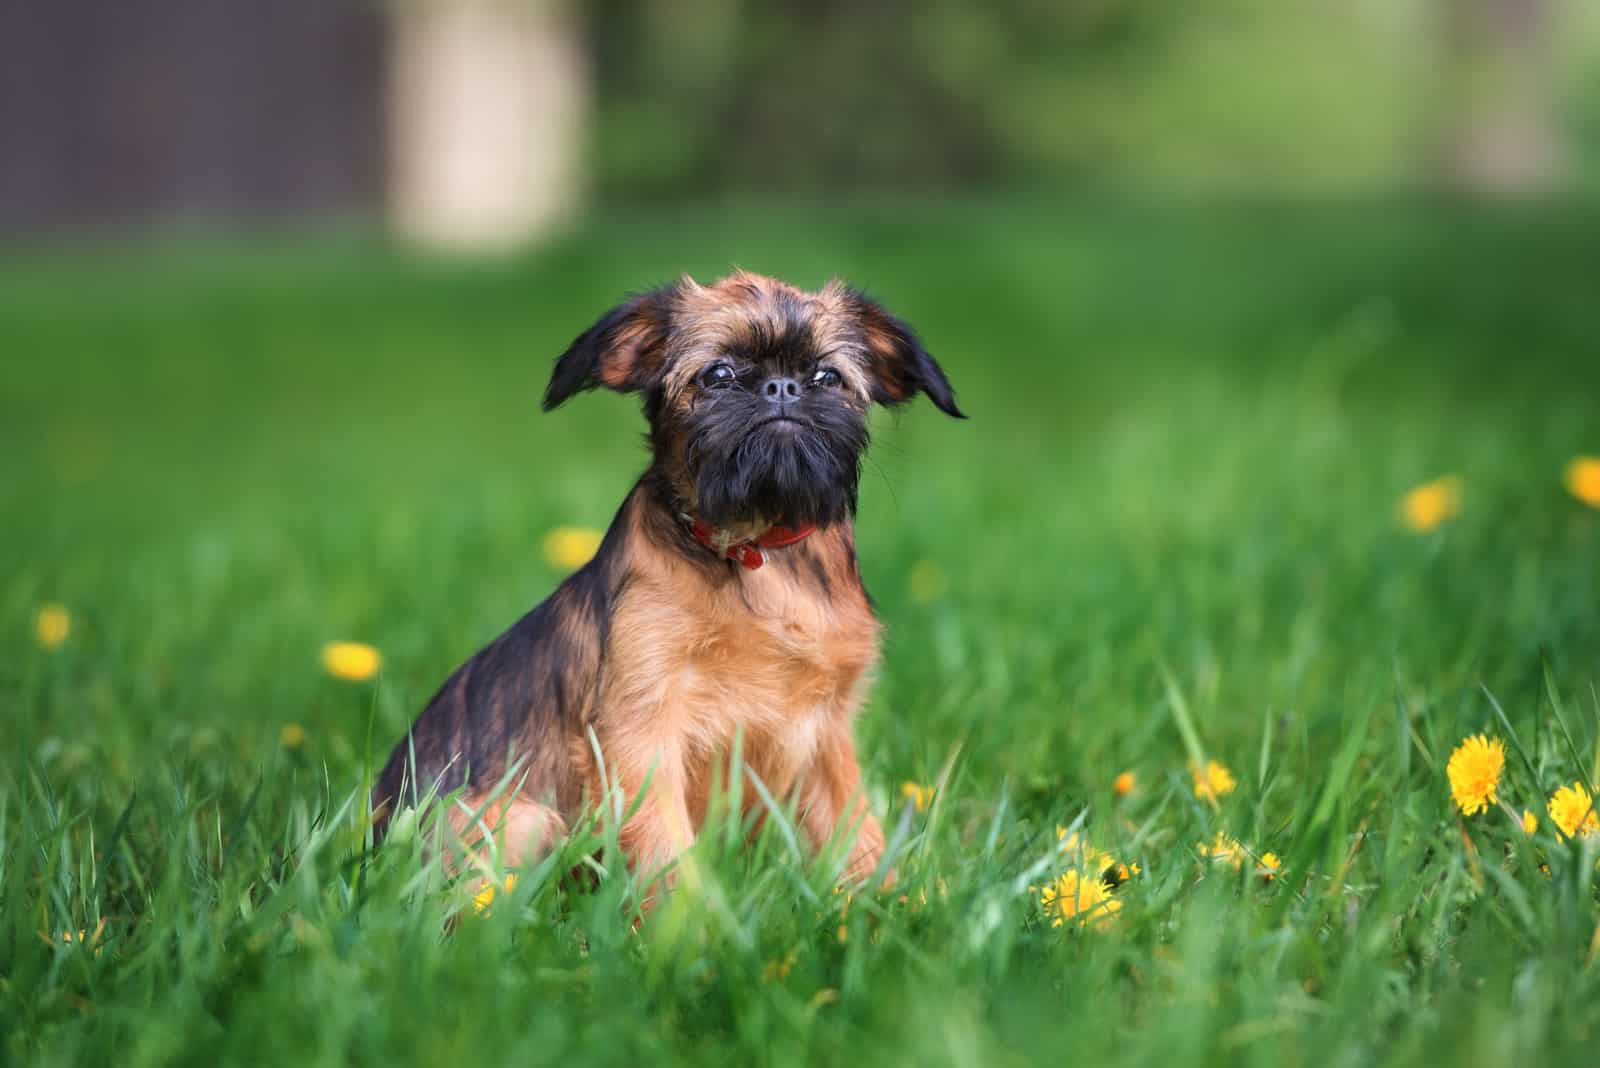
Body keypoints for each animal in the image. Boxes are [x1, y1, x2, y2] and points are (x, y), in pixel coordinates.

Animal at [374, 271, 960, 888]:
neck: (756, 551)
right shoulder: (642, 731)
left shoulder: (826, 737)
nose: (781, 387)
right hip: (523, 819)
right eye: (718, 374)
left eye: (828, 377)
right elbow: (665, 851)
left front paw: (892, 903)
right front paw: (691, 917)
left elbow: (859, 836)